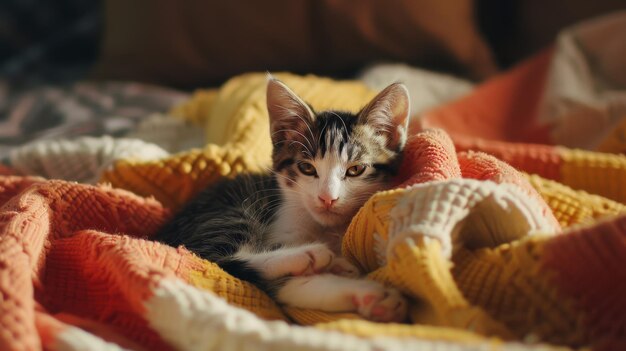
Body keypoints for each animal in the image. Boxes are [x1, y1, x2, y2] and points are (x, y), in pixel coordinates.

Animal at [155, 78, 410, 324]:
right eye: (307, 168)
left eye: (356, 169)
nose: (327, 198)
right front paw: (372, 292)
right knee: (215, 257)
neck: (325, 229)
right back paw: (308, 256)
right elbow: (283, 285)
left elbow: (302, 288)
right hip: (228, 213)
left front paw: (370, 298)